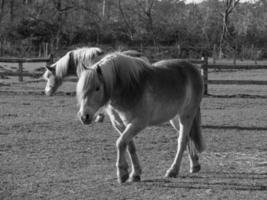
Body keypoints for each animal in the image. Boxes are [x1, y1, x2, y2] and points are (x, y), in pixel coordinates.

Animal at [76, 52, 206, 184]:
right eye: (81, 89)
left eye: (97, 88)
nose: (84, 116)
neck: (129, 88)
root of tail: (192, 68)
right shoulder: (120, 125)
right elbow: (129, 146)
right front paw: (135, 174)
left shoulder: (138, 123)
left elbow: (120, 142)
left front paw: (122, 173)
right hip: (175, 119)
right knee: (188, 137)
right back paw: (194, 165)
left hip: (186, 115)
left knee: (182, 140)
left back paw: (173, 171)